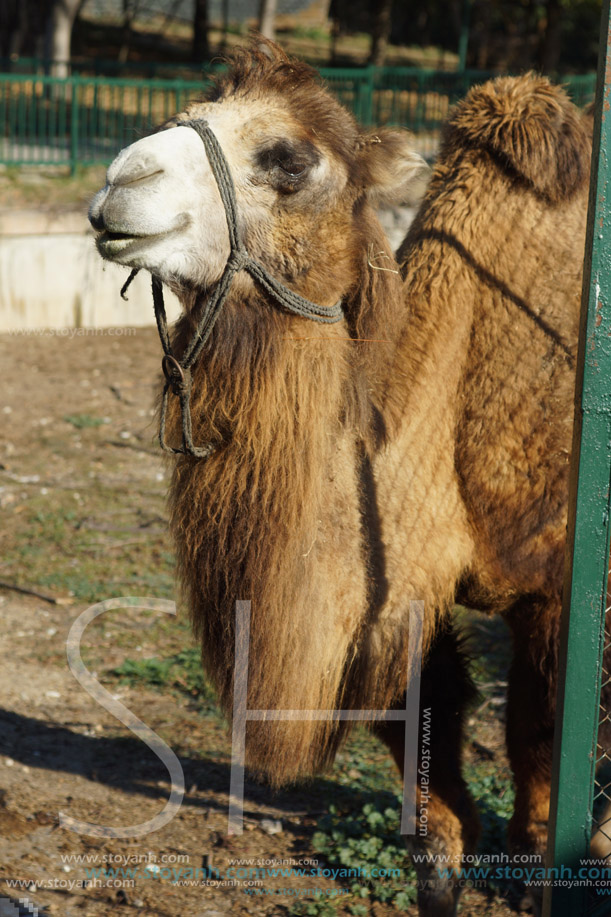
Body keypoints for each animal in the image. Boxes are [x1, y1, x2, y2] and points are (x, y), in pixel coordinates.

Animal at [88, 43, 604, 916]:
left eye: (289, 159)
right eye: (186, 114)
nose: (119, 187)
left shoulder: (554, 576)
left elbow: (539, 758)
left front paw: (550, 853)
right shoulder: (398, 594)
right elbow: (426, 763)